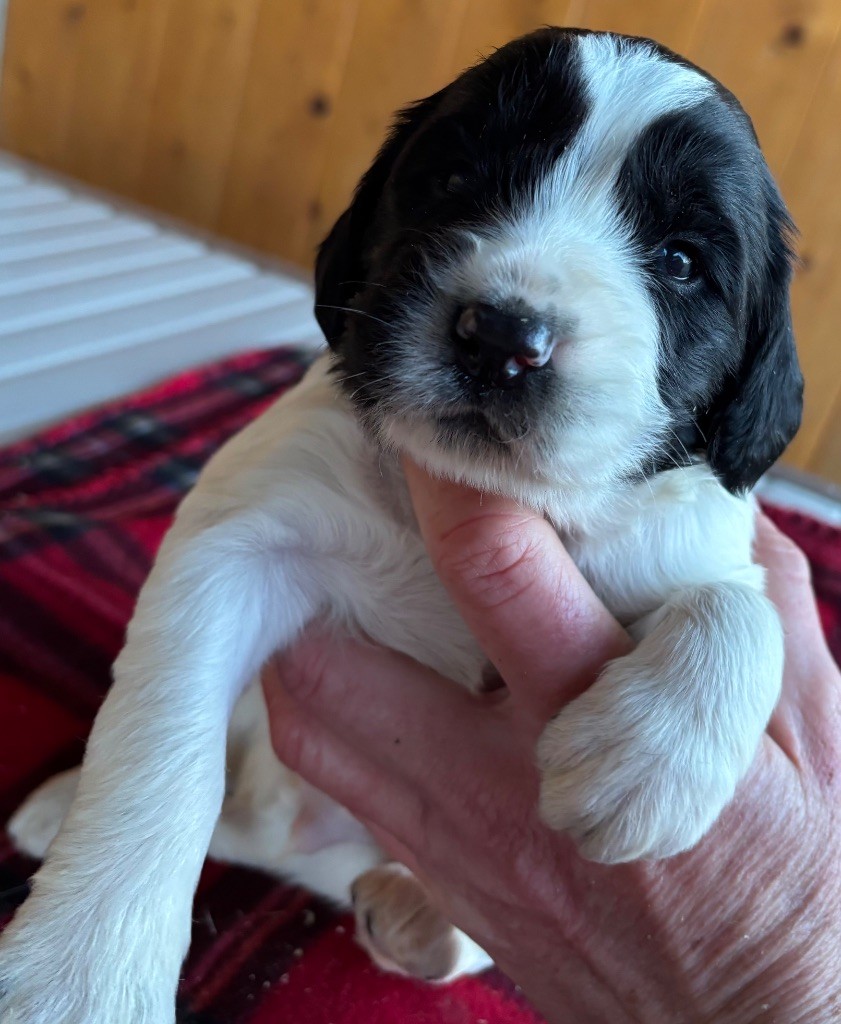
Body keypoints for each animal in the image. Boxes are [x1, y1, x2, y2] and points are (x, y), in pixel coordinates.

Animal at [0, 25, 799, 1024]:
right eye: (458, 178)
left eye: (681, 260)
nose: (503, 337)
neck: (486, 496)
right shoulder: (246, 529)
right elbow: (161, 743)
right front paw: (82, 974)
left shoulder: (694, 532)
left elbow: (741, 607)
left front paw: (646, 763)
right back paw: (61, 808)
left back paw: (420, 919)